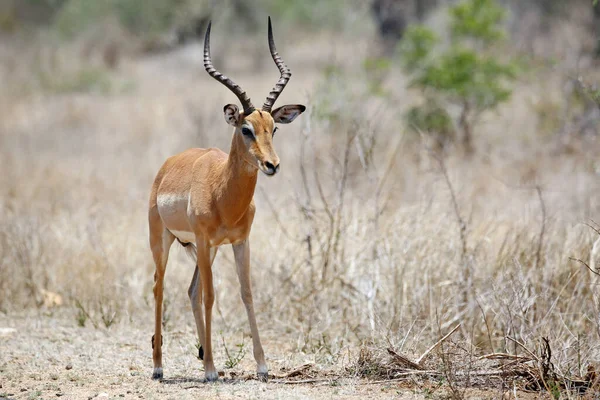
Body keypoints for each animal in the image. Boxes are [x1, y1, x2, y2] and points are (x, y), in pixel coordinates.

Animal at [146, 17, 304, 382]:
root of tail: (167, 166)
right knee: (161, 288)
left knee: (190, 291)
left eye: (274, 128)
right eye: (246, 129)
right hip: (163, 240)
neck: (223, 193)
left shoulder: (240, 241)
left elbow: (246, 293)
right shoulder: (204, 241)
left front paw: (262, 366)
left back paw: (203, 354)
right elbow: (211, 296)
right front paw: (210, 372)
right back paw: (160, 367)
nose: (272, 165)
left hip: (208, 249)